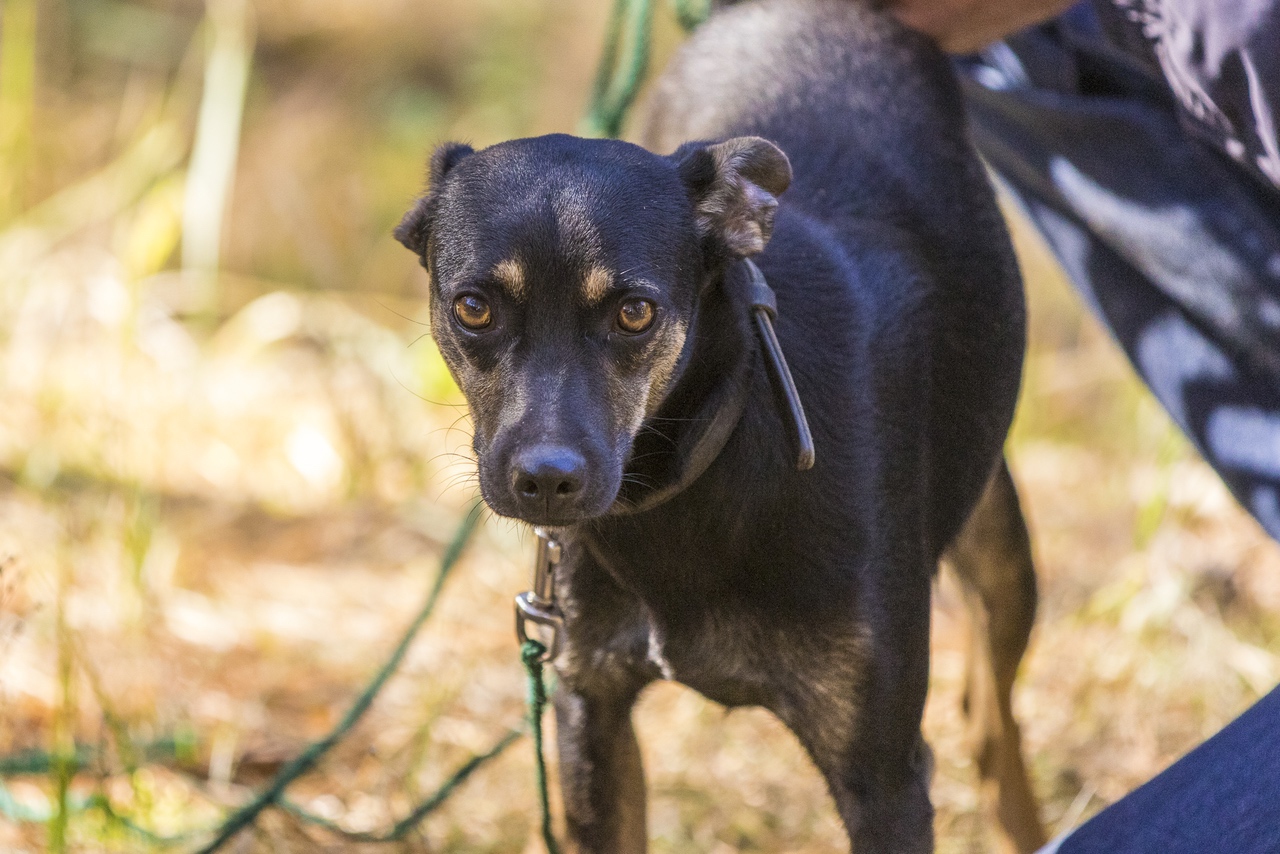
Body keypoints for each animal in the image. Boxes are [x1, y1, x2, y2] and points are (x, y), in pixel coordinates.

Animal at [396, 0, 1043, 851]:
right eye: (473, 307)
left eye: (636, 312)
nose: (546, 481)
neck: (690, 479)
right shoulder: (590, 717)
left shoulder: (881, 778)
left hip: (1001, 555)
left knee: (995, 720)